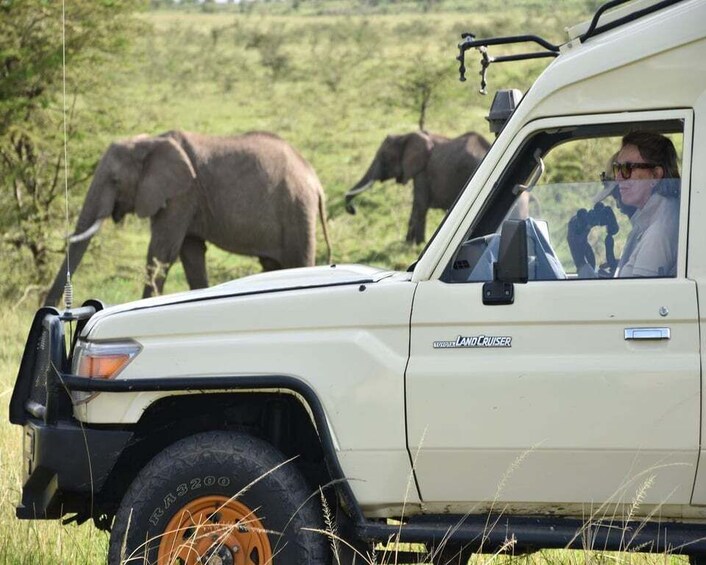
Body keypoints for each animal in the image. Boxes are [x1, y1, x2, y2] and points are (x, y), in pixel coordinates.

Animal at [45, 131, 332, 306]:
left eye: (115, 181)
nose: (51, 309)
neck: (150, 141)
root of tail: (316, 181)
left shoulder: (181, 194)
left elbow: (161, 252)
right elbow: (191, 255)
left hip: (297, 209)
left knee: (298, 261)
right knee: (273, 265)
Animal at [342, 131, 486, 243]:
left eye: (384, 157)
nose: (352, 210)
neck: (404, 136)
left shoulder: (423, 171)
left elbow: (419, 204)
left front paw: (415, 244)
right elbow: (417, 205)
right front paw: (411, 244)